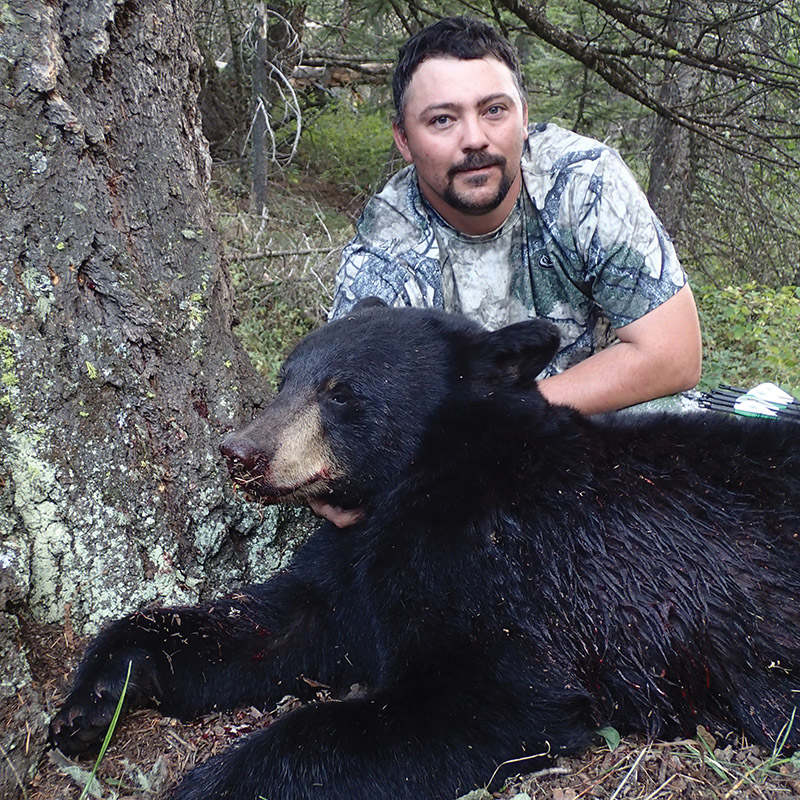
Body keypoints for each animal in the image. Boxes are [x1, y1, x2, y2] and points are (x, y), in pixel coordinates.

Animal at [50, 299, 800, 800]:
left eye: (342, 392)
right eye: (287, 375)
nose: (241, 452)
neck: (413, 483)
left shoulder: (506, 572)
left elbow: (481, 703)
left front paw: (207, 783)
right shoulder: (351, 564)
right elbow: (267, 626)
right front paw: (92, 699)